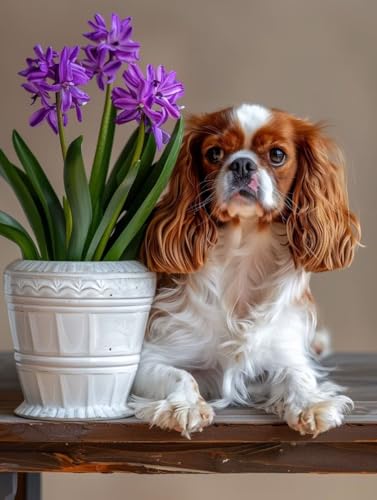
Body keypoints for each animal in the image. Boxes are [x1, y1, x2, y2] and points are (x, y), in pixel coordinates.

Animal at [129, 102, 358, 438]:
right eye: (214, 153)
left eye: (277, 155)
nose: (242, 165)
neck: (244, 251)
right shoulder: (151, 357)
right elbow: (181, 376)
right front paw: (185, 407)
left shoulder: (284, 353)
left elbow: (299, 375)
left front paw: (310, 405)